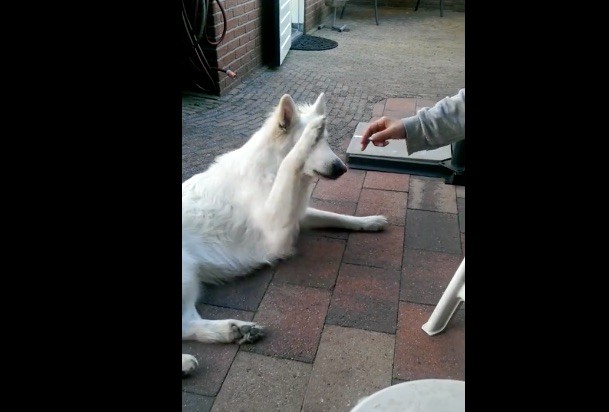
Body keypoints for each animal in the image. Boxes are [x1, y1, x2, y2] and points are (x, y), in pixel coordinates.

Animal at [183, 93, 388, 376]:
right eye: (315, 143)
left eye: (327, 141)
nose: (342, 168)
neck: (268, 167)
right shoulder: (277, 227)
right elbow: (291, 161)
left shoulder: (296, 217)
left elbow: (337, 217)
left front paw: (368, 221)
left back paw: (235, 330)